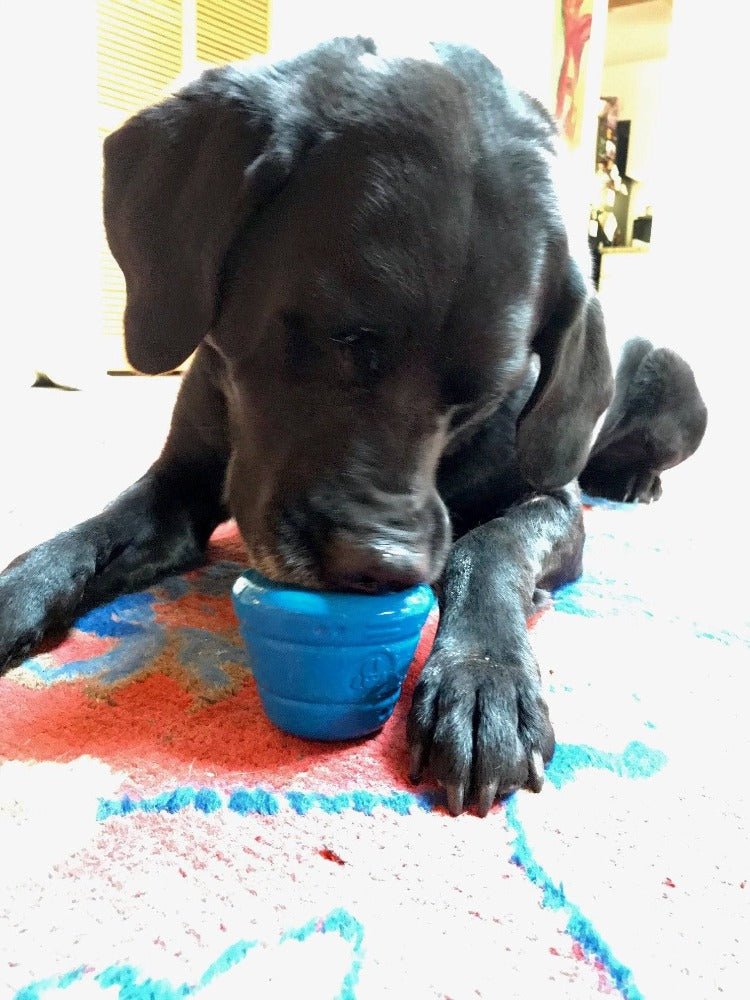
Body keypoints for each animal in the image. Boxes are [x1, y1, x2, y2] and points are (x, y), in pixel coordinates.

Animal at [0, 41, 704, 820]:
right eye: (341, 338)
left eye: (484, 394)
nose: (381, 565)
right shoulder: (180, 480)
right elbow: (84, 536)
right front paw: (17, 593)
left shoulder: (552, 502)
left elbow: (487, 547)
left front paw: (483, 680)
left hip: (679, 389)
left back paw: (634, 479)